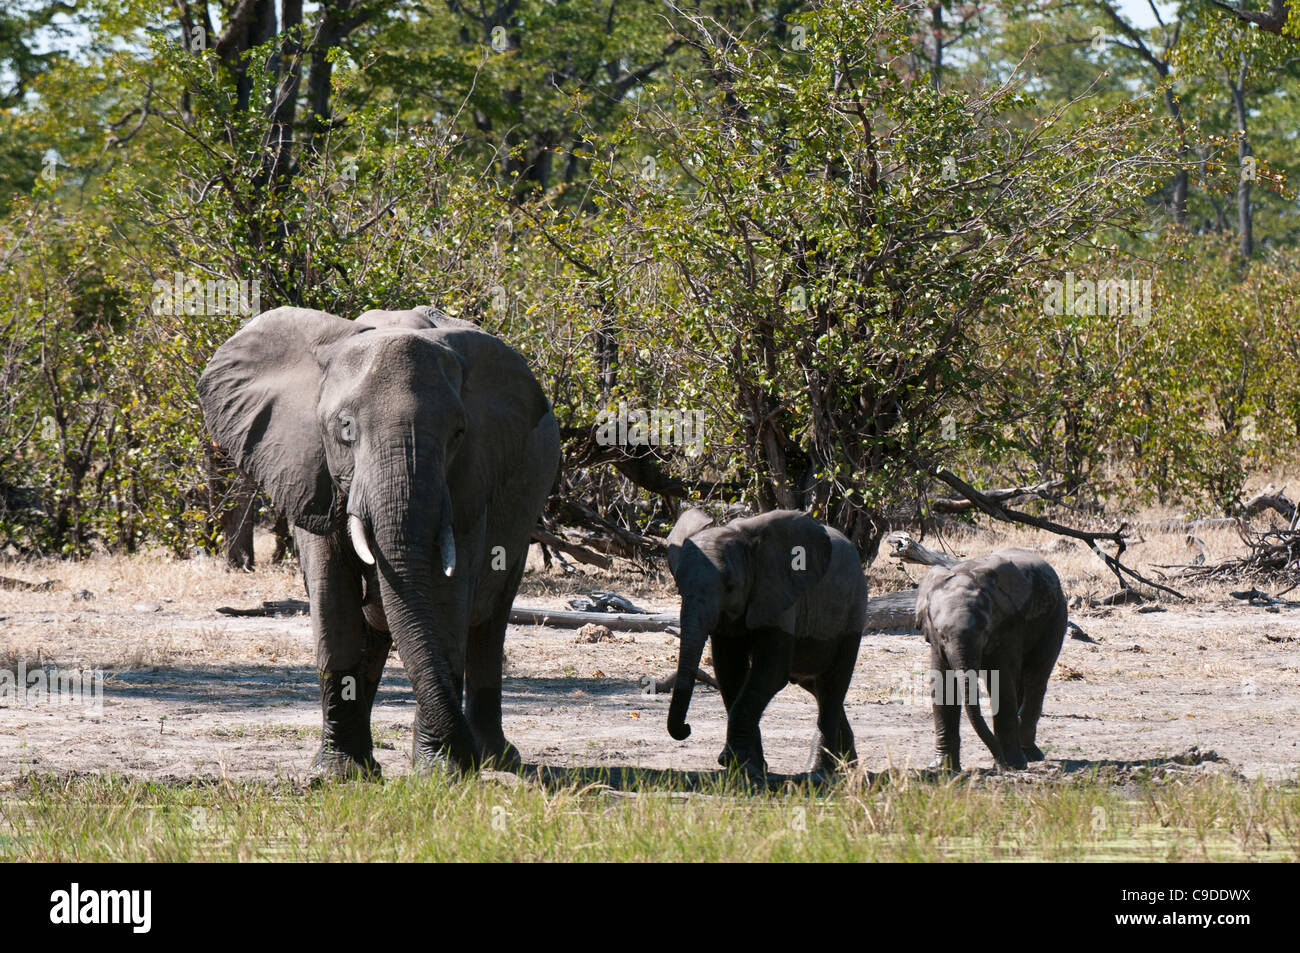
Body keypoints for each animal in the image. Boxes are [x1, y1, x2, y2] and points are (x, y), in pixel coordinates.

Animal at [198, 304, 559, 774]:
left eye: (458, 433)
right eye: (345, 427)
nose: (463, 756)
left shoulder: (469, 483)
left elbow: (446, 598)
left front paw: (442, 772)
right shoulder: (311, 469)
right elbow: (333, 599)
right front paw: (336, 775)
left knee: (488, 624)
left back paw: (496, 759)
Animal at [665, 509, 868, 774]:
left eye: (730, 587)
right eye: (679, 587)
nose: (687, 728)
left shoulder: (778, 590)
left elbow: (770, 672)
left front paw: (733, 761)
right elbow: (730, 672)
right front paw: (749, 766)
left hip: (854, 609)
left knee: (832, 686)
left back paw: (821, 772)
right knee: (816, 687)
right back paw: (849, 766)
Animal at [915, 546, 1066, 769]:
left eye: (984, 631)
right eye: (941, 634)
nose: (1000, 764)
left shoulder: (1008, 625)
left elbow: (1002, 683)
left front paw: (1014, 765)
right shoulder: (936, 643)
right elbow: (944, 685)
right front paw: (943, 768)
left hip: (1056, 614)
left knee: (1036, 678)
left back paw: (1029, 754)